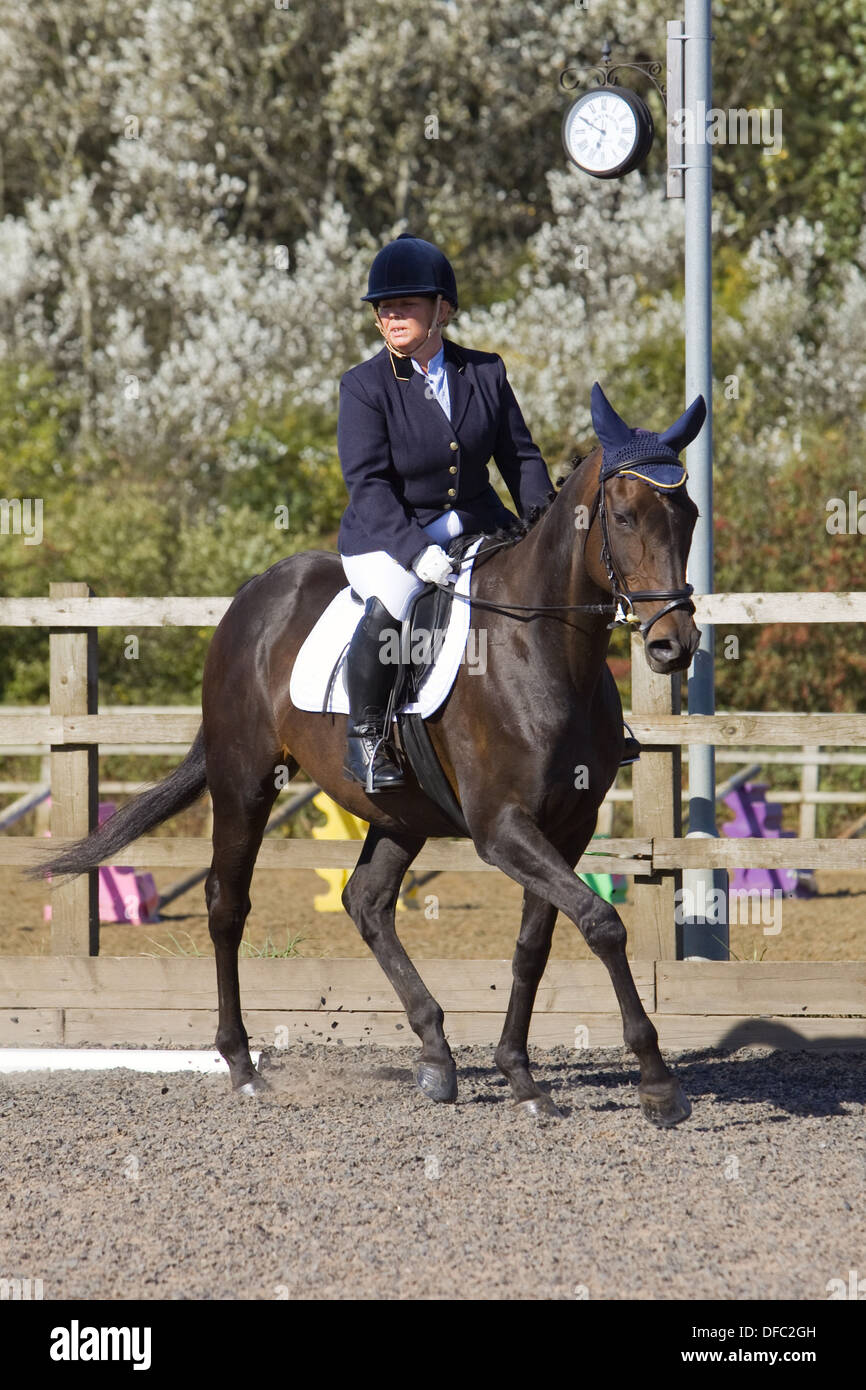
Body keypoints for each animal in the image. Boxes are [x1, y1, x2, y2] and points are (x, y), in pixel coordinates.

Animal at [38, 389, 706, 1128]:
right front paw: (657, 1082)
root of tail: (253, 595)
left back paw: (436, 1055)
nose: (675, 645)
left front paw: (521, 1075)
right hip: (245, 782)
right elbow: (603, 924)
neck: (544, 650)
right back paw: (242, 1065)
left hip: (399, 811)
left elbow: (537, 944)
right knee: (227, 905)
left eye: (688, 515)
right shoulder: (502, 828)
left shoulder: (569, 825)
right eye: (624, 516)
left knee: (365, 901)